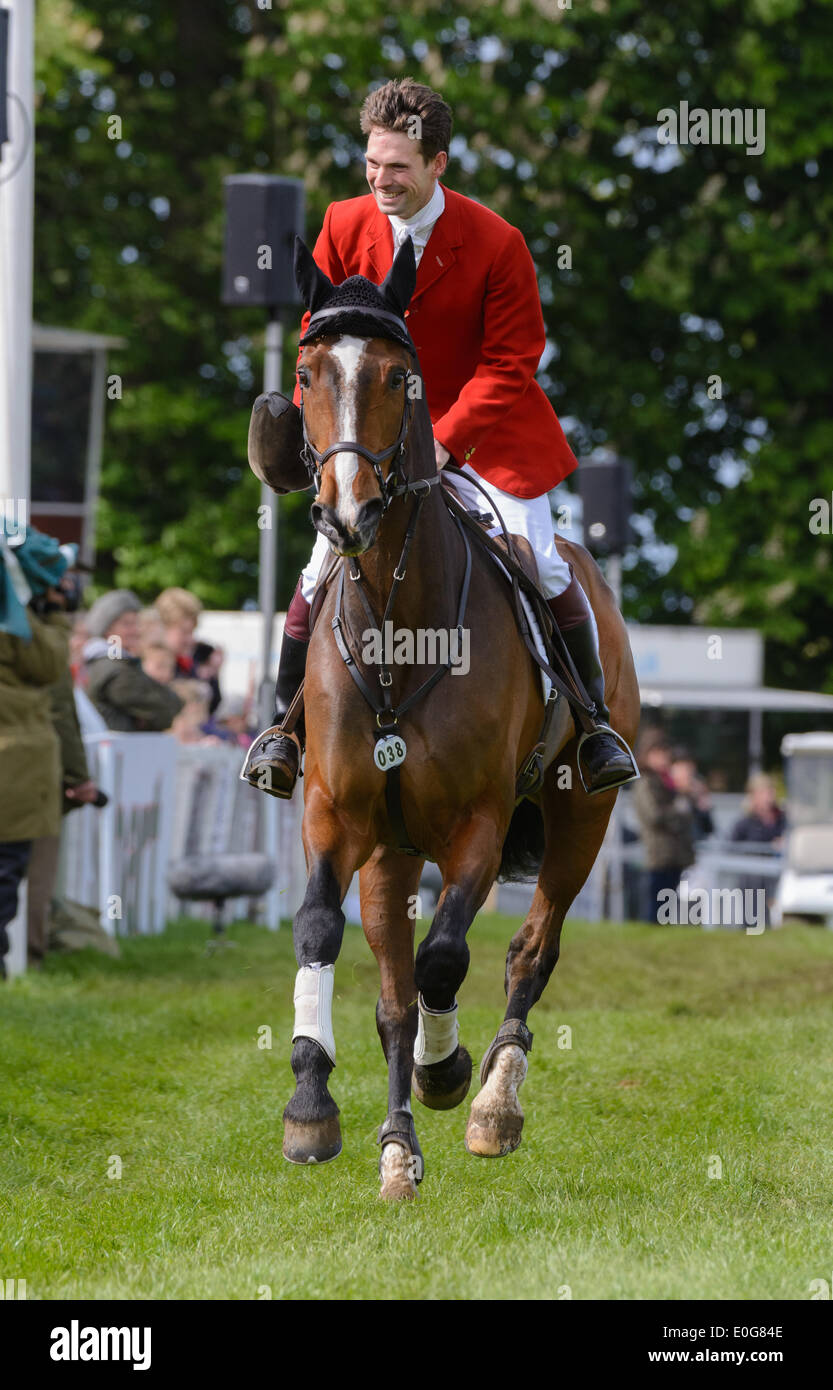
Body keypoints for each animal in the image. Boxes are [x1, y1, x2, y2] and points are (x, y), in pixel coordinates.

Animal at [283, 233, 642, 1200]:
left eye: (399, 376)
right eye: (306, 373)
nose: (347, 512)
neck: (397, 626)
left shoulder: (478, 823)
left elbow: (447, 960)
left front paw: (445, 1074)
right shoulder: (336, 816)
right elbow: (328, 937)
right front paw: (314, 1106)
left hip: (578, 817)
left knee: (528, 950)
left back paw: (491, 1104)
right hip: (393, 853)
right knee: (393, 987)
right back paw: (397, 1145)